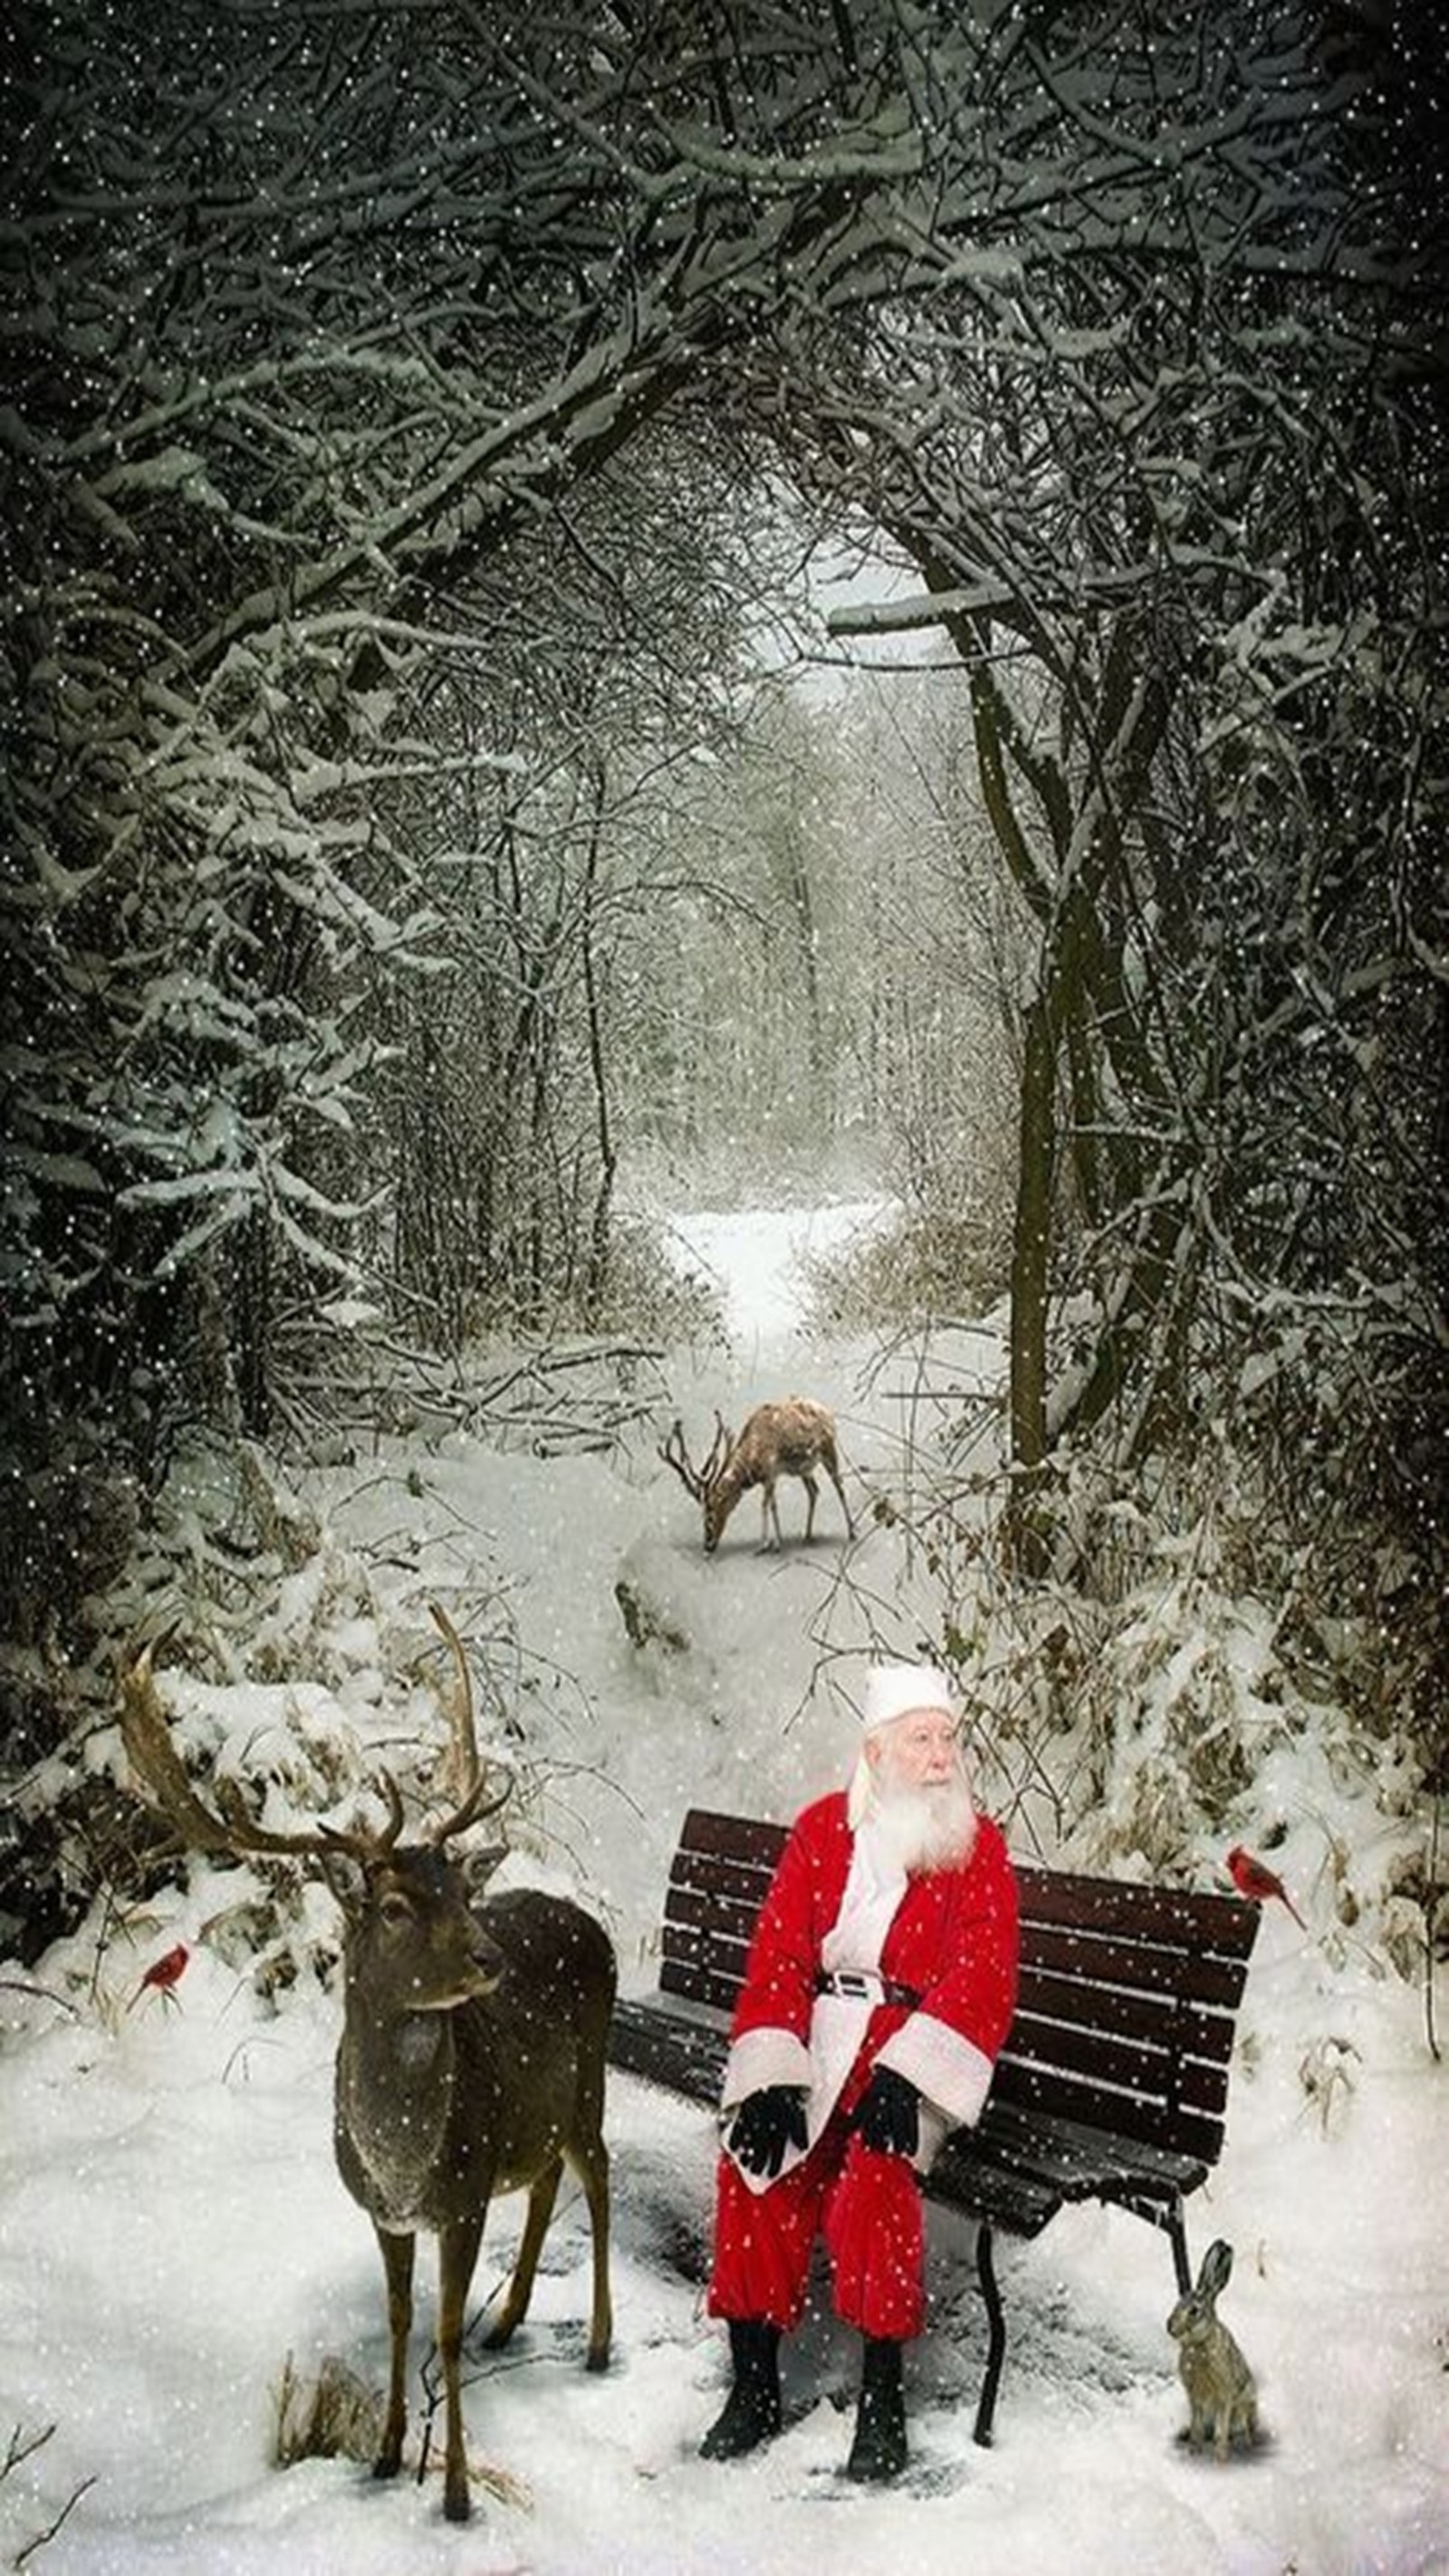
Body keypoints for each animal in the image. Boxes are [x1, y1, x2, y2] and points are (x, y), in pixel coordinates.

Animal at [116, 1597, 609, 2524]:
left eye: (457, 1889)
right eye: (393, 1906)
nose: (489, 1956)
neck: (405, 2159)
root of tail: (590, 1923)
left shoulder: (462, 2196)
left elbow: (442, 2333)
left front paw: (455, 2493)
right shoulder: (383, 2213)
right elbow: (400, 2320)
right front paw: (383, 2456)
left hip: (594, 2079)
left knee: (597, 2177)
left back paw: (598, 2342)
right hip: (540, 2116)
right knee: (547, 2180)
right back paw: (509, 2320)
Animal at [664, 1401, 854, 1555]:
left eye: (709, 1517)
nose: (707, 1546)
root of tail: (827, 1413)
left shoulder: (770, 1473)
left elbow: (764, 1505)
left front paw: (765, 1545)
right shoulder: (770, 1478)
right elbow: (773, 1505)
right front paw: (777, 1542)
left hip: (828, 1450)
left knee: (840, 1487)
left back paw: (852, 1532)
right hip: (804, 1468)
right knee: (814, 1491)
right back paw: (807, 1535)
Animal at [1168, 2235, 1261, 2452]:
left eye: (1194, 2311)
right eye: (1177, 2305)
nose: (1170, 2327)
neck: (1198, 2346)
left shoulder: (1224, 2396)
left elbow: (1220, 2434)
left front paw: (1220, 2456)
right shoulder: (1195, 2399)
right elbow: (1197, 2427)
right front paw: (1194, 2449)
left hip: (1243, 2405)